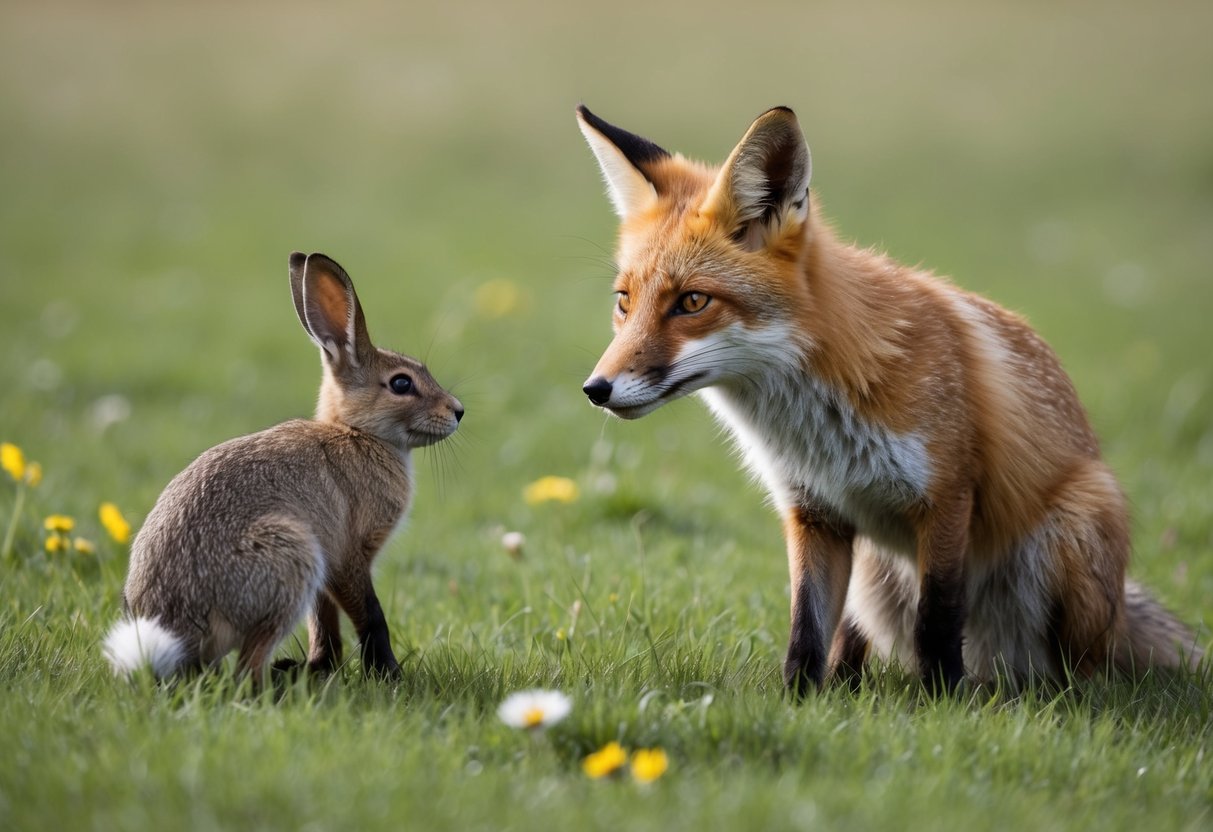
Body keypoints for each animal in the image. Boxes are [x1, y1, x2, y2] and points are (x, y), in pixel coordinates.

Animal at [102, 252, 463, 683]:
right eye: (401, 384)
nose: (458, 411)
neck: (357, 432)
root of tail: (176, 630)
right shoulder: (346, 554)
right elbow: (370, 615)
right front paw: (388, 674)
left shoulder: (327, 572)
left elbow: (324, 622)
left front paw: (323, 667)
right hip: (289, 555)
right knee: (246, 670)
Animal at [575, 104, 1202, 694]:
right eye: (624, 301)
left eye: (692, 302)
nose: (595, 389)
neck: (819, 426)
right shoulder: (814, 512)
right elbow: (807, 632)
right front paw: (800, 703)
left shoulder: (947, 498)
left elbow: (937, 622)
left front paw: (944, 704)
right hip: (874, 570)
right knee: (855, 639)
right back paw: (852, 687)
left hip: (1070, 531)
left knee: (1079, 669)